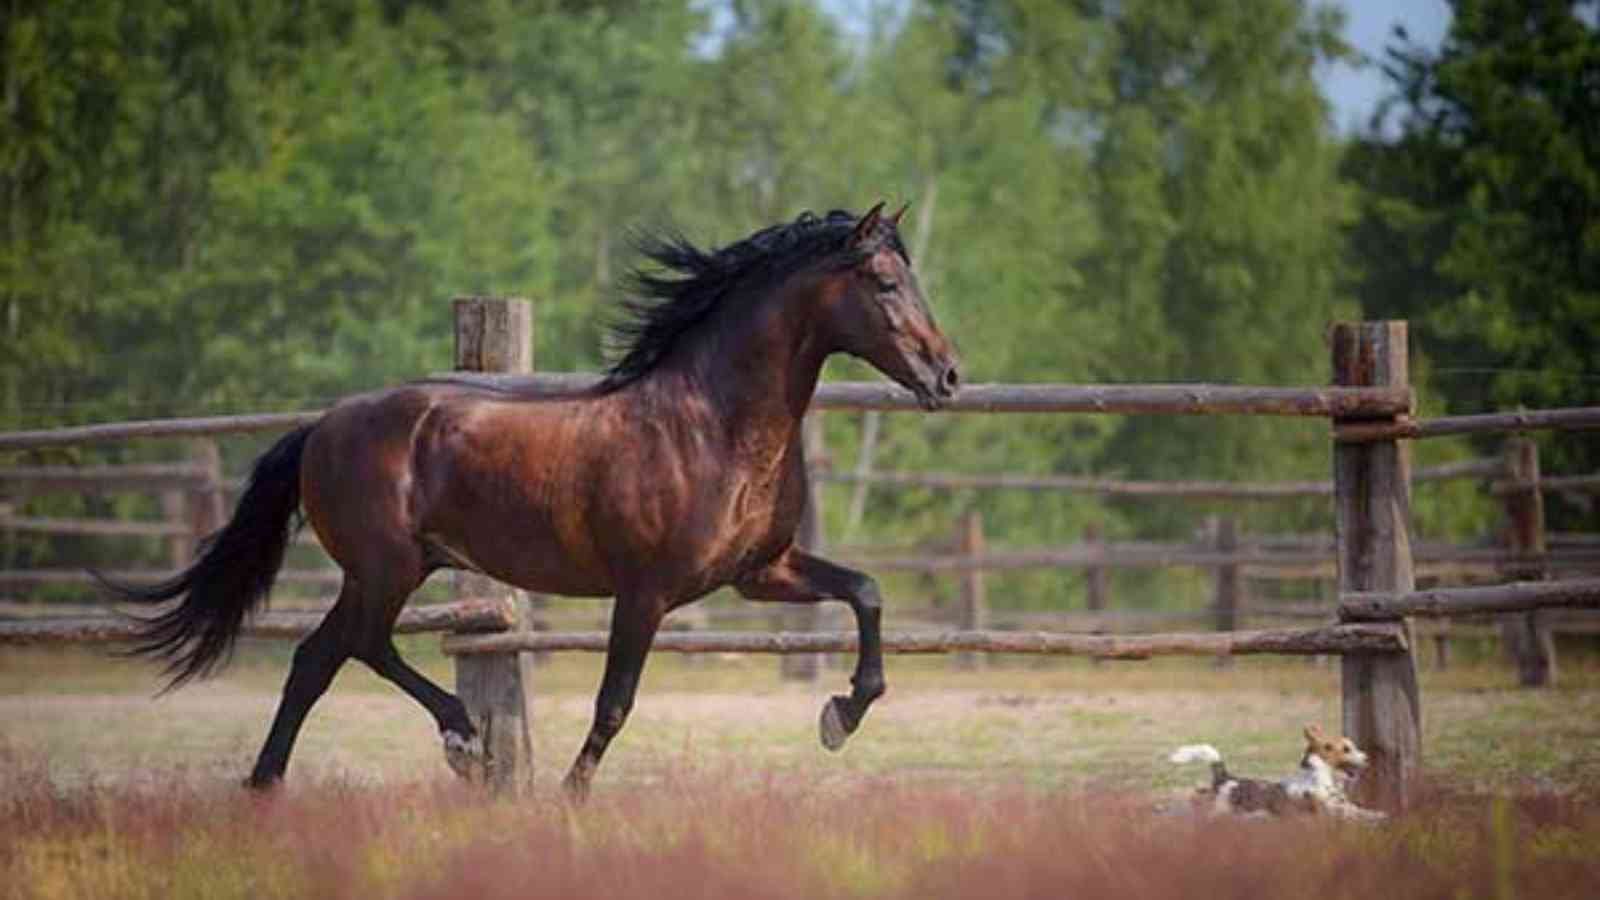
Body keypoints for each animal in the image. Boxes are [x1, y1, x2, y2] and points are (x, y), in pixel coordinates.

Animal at [105, 202, 961, 796]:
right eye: (886, 283)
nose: (948, 376)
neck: (713, 425)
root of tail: (323, 424)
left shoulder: (760, 571)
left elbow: (866, 592)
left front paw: (841, 715)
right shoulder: (645, 592)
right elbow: (615, 701)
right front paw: (568, 797)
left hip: (388, 571)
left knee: (320, 657)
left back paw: (276, 782)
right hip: (386, 569)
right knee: (358, 647)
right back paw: (462, 741)